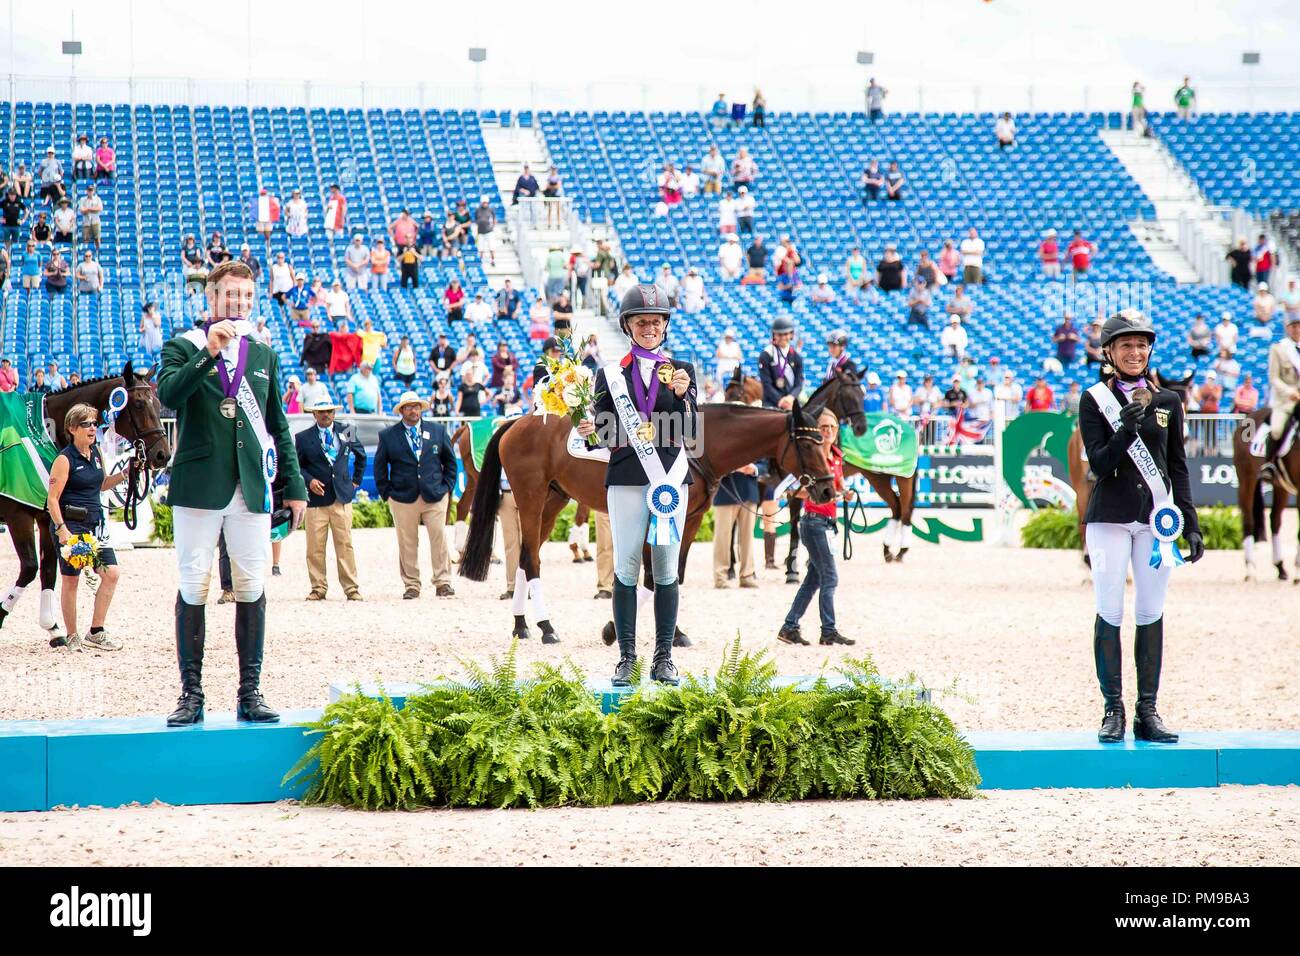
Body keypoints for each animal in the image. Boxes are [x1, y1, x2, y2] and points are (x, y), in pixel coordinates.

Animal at [0, 361, 171, 639]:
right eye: (138, 405)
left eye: (157, 404)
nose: (162, 455)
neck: (44, 429)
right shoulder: (18, 516)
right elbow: (29, 568)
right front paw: (1, 614)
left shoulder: (47, 517)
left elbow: (49, 570)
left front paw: (52, 628)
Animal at [460, 395, 832, 642]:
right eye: (808, 445)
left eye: (823, 441)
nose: (828, 489)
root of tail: (516, 423)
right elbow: (655, 578)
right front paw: (614, 630)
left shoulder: (690, 520)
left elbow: (674, 574)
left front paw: (674, 632)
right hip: (531, 499)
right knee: (530, 560)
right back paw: (547, 627)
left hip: (553, 501)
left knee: (528, 557)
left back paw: (523, 625)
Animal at [1232, 405, 1294, 580]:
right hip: (1246, 479)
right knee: (1248, 519)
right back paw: (1250, 568)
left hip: (1281, 486)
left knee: (1275, 519)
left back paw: (1281, 567)